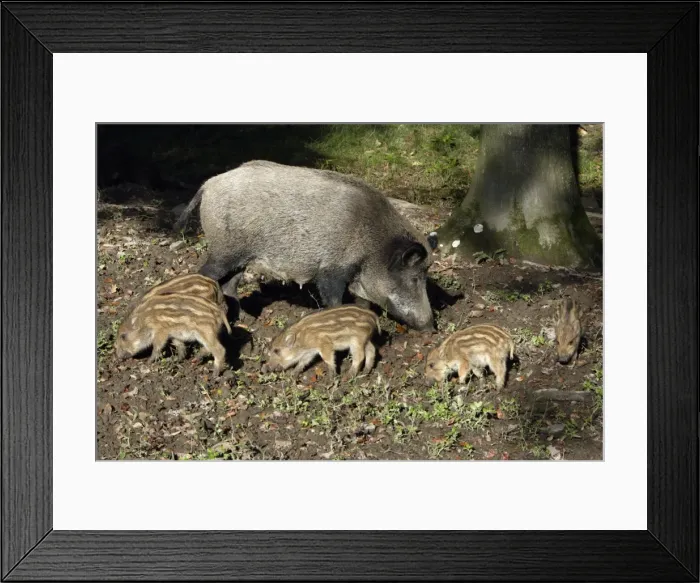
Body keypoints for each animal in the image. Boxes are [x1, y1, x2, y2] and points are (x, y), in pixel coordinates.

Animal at [173, 160, 435, 331]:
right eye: (414, 278)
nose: (432, 328)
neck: (373, 245)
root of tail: (208, 184)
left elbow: (363, 302)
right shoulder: (331, 270)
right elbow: (334, 300)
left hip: (241, 258)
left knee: (229, 284)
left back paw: (249, 321)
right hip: (223, 251)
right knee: (206, 275)